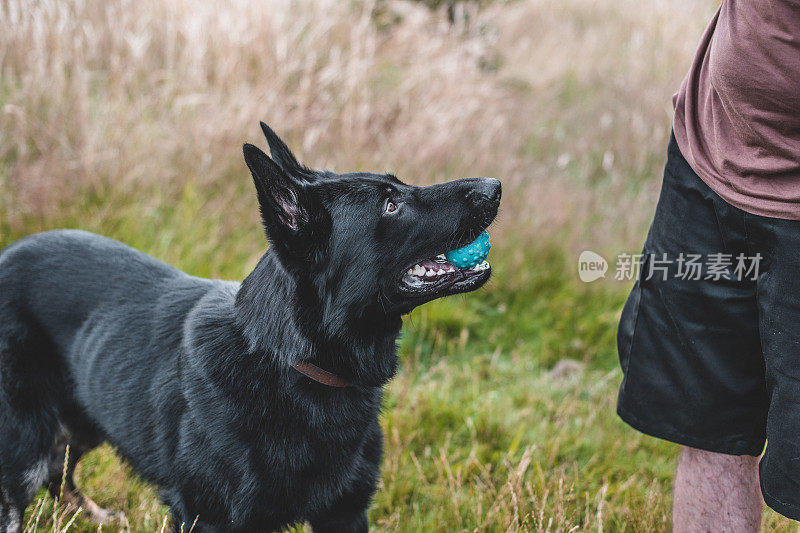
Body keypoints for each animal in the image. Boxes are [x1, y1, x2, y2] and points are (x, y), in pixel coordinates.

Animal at [0, 123, 500, 532]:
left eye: (399, 187)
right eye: (391, 206)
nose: (494, 185)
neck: (287, 361)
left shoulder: (344, 512)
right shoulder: (209, 519)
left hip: (82, 420)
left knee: (60, 474)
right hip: (24, 448)